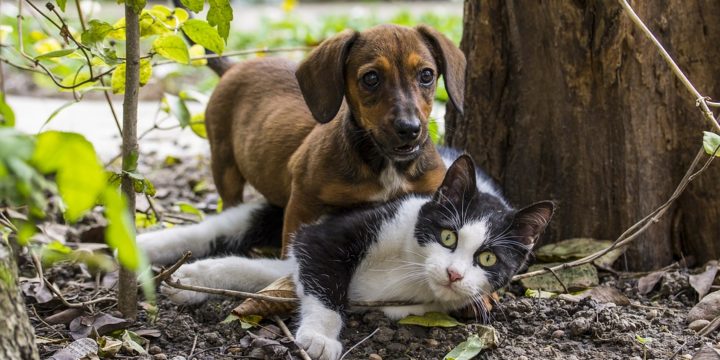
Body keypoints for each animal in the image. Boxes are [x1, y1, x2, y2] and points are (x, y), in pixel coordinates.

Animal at [138, 150, 556, 360]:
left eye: (488, 259)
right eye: (448, 236)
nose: (454, 274)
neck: (410, 267)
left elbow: (273, 272)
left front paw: (194, 279)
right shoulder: (332, 232)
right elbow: (323, 279)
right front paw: (320, 337)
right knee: (222, 226)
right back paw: (143, 247)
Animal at [205, 24, 464, 253]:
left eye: (426, 75)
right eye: (371, 78)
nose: (409, 129)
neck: (386, 165)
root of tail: (233, 67)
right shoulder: (303, 202)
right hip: (224, 165)